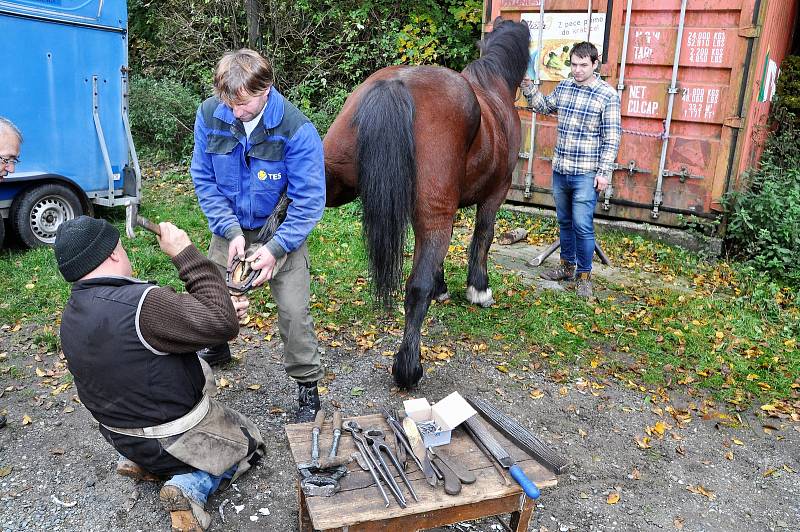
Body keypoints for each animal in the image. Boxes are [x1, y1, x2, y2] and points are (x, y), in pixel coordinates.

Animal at [322, 17, 528, 390]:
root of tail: (395, 84)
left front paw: (442, 287)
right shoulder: (495, 194)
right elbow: (483, 237)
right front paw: (479, 290)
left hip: (331, 183)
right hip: (435, 215)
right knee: (415, 288)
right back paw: (408, 368)